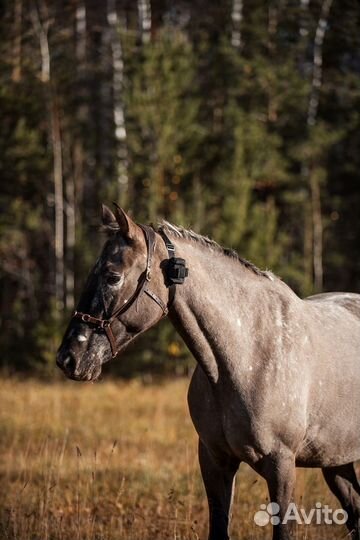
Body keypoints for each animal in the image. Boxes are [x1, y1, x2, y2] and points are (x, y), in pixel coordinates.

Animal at [57, 204, 360, 540]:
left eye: (113, 276)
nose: (68, 358)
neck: (248, 355)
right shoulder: (215, 460)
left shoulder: (281, 465)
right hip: (337, 461)